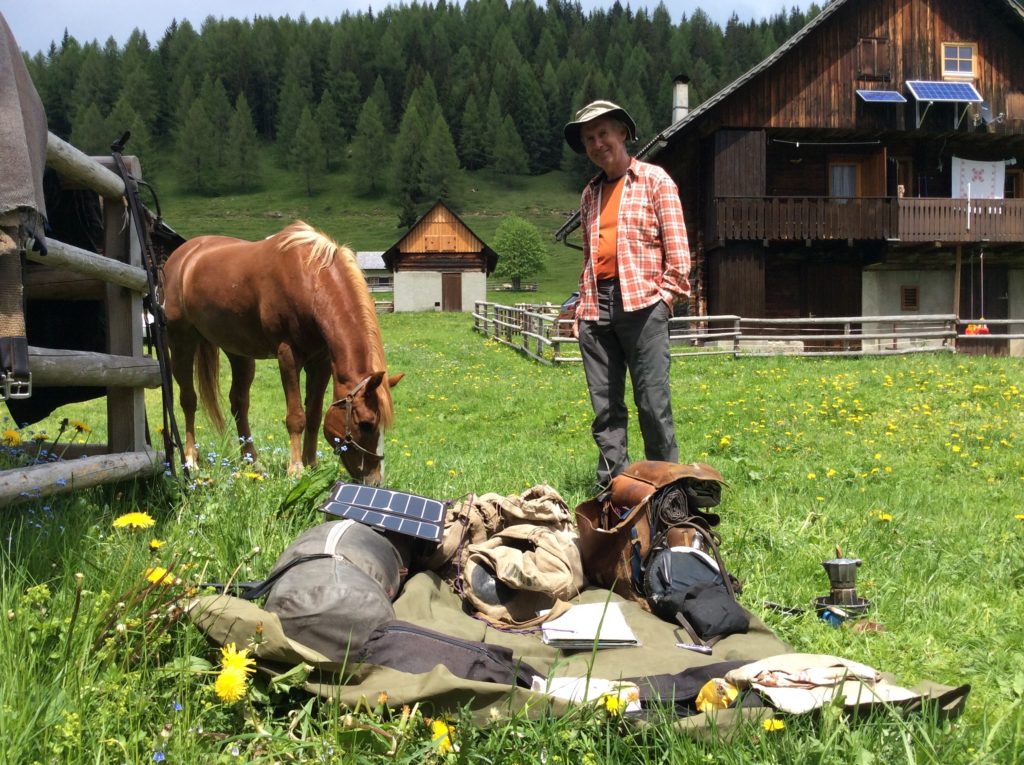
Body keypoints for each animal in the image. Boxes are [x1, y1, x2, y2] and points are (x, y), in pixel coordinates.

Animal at [161, 221, 401, 485]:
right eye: (367, 424)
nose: (375, 480)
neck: (309, 279)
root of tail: (183, 256)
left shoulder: (321, 362)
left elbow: (314, 415)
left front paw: (311, 465)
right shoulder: (289, 357)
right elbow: (296, 416)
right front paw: (295, 469)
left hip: (239, 352)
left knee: (238, 403)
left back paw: (253, 463)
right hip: (181, 342)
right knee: (188, 400)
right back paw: (190, 459)